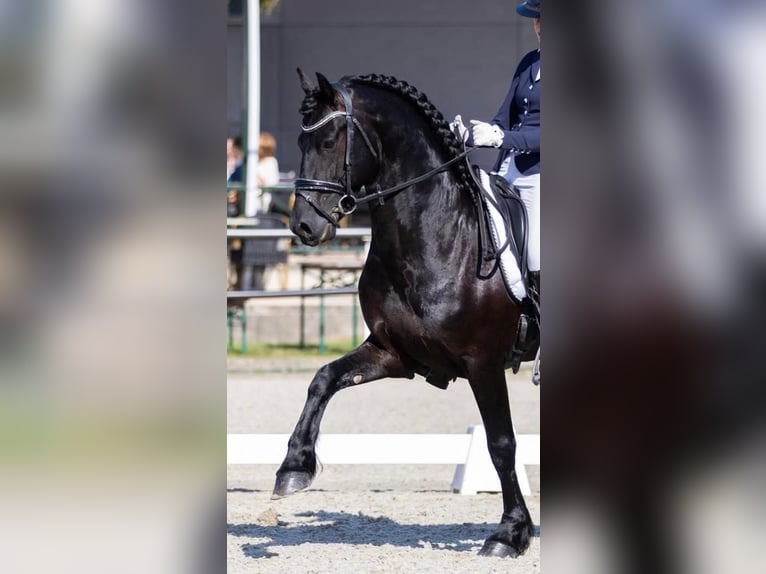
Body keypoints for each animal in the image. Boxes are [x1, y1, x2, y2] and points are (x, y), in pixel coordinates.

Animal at [272, 69, 539, 558]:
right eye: (300, 142)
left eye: (329, 142)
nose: (304, 226)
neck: (438, 235)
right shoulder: (394, 353)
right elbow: (323, 379)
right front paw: (294, 466)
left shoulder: (483, 362)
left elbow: (501, 443)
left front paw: (509, 533)